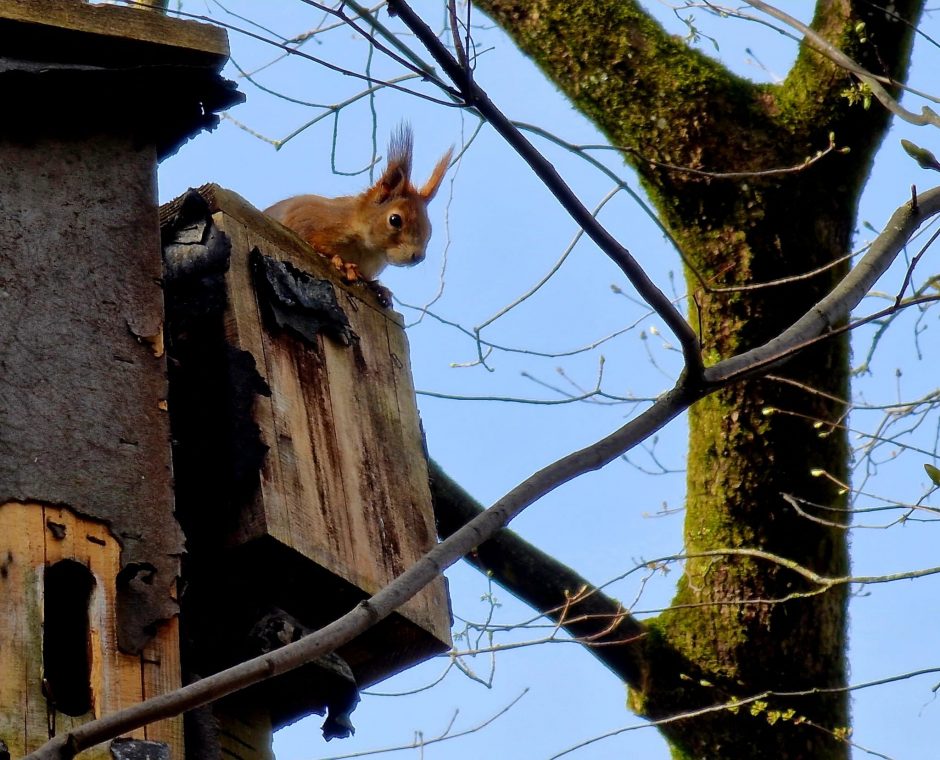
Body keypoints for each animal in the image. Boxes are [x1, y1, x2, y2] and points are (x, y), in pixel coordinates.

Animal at [262, 124, 454, 300]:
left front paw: (380, 288)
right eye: (395, 219)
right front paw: (344, 264)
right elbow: (311, 241)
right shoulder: (308, 219)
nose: (418, 257)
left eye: (429, 228)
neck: (367, 250)